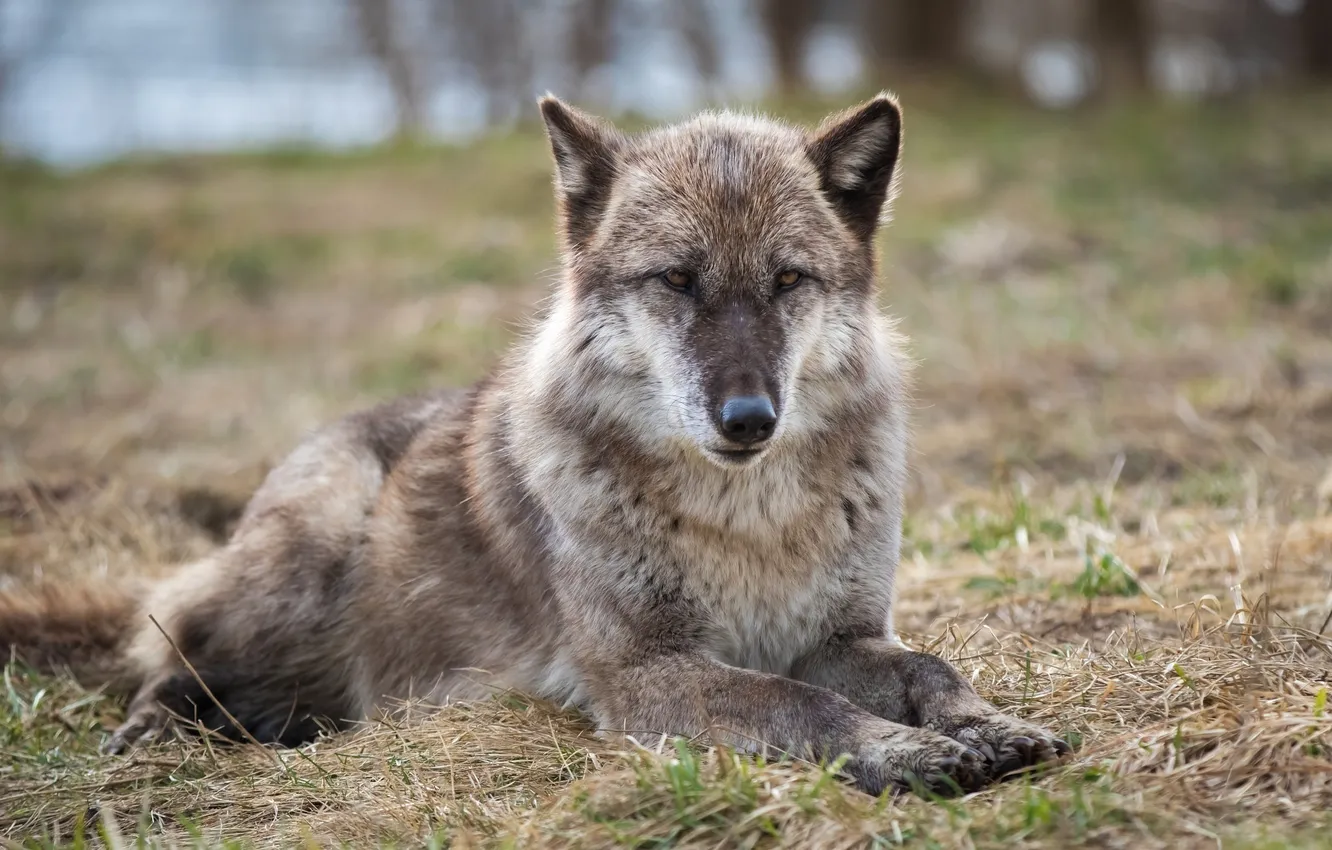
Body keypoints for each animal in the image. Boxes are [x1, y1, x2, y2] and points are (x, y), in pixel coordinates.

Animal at [1, 93, 1068, 796]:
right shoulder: (645, 674)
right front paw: (911, 754)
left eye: (787, 280)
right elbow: (800, 707)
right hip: (303, 559)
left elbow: (932, 670)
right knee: (171, 645)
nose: (747, 419)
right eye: (677, 280)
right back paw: (157, 730)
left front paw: (986, 724)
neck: (746, 519)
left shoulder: (841, 638)